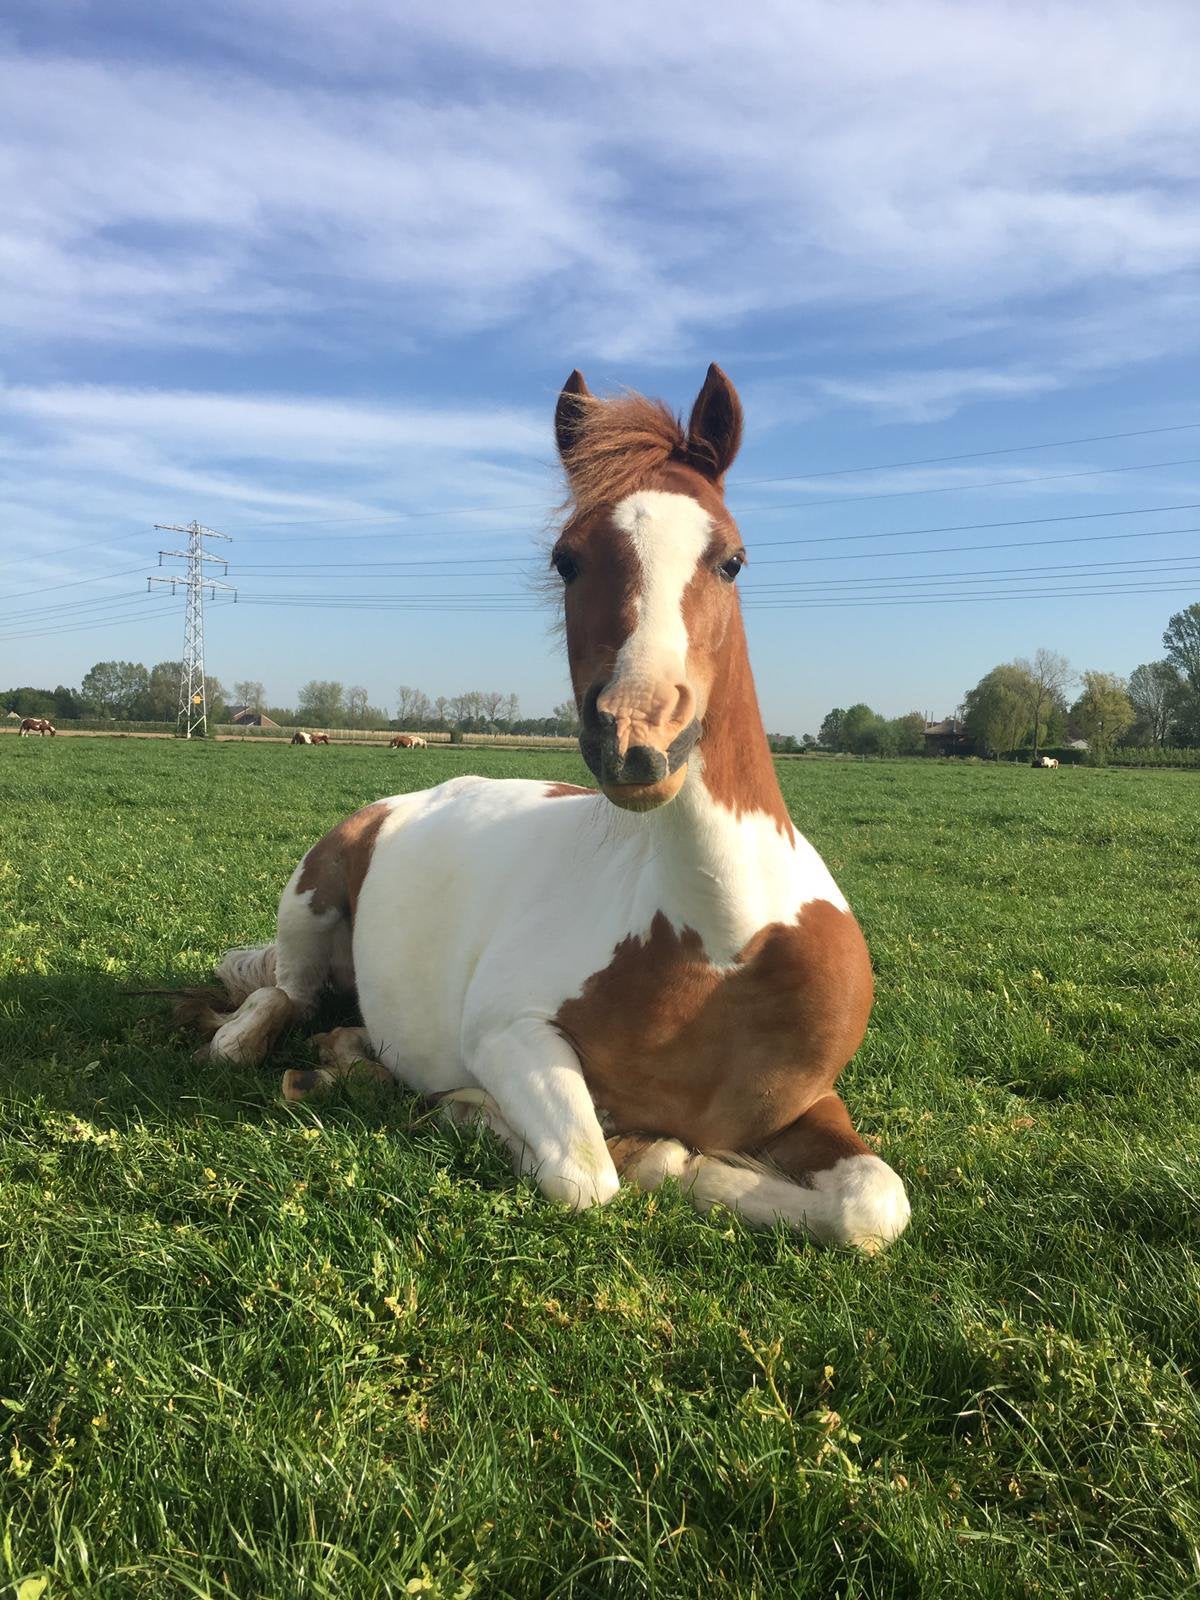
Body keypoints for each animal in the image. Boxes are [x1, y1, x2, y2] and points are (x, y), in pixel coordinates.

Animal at [182, 366, 910, 1252]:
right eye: (566, 560)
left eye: (732, 561)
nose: (637, 738)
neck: (723, 943)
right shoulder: (508, 1033)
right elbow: (586, 1173)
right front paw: (500, 1119)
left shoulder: (806, 1105)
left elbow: (875, 1204)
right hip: (311, 894)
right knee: (280, 994)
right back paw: (268, 1044)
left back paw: (349, 1051)